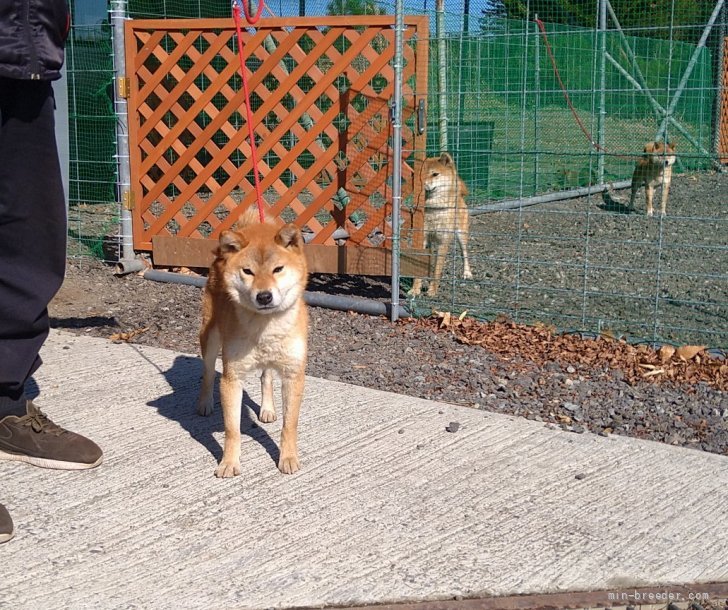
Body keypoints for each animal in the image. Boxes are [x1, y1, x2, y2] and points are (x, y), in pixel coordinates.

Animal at [196, 211, 308, 478]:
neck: (265, 327)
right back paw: (205, 403)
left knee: (266, 376)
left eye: (278, 269)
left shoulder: (293, 374)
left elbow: (290, 425)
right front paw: (228, 462)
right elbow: (232, 430)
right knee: (208, 372)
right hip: (210, 337)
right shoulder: (232, 377)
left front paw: (288, 458)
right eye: (248, 271)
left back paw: (267, 408)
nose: (264, 296)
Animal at [410, 151, 472, 296]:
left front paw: (432, 290)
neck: (434, 209)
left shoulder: (443, 242)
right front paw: (415, 289)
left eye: (435, 174)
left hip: (461, 235)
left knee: (464, 253)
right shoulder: (423, 238)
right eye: (421, 174)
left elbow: (437, 270)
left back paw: (467, 273)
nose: (421, 184)